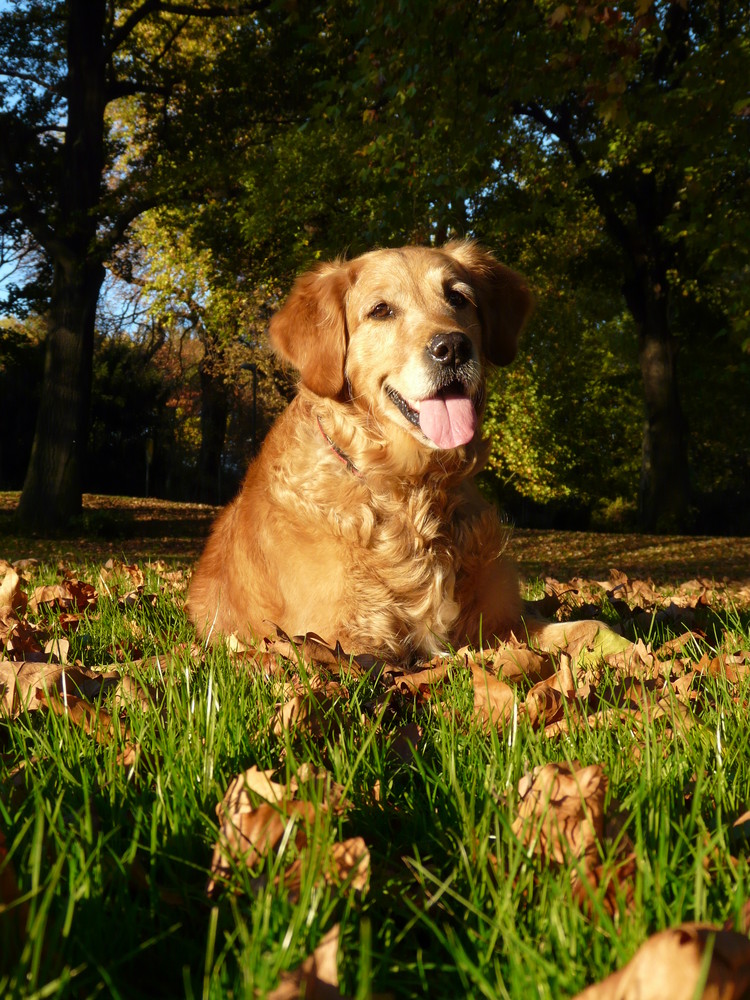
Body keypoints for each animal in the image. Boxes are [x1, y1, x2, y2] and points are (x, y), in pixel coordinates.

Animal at [187, 240, 552, 664]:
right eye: (381, 311)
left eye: (458, 298)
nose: (453, 348)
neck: (410, 487)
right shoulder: (339, 642)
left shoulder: (503, 622)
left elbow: (587, 629)